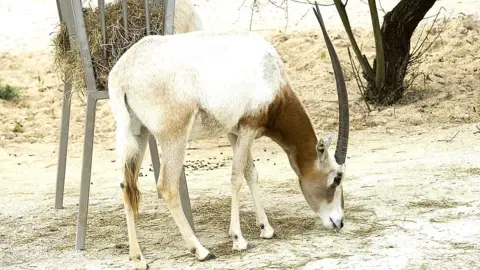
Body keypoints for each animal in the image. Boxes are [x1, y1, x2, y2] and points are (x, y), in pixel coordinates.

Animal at [108, 5, 348, 268]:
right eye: (337, 178)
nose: (339, 222)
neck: (272, 76)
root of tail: (123, 74)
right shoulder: (249, 126)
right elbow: (236, 176)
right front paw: (238, 238)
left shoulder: (235, 131)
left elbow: (251, 173)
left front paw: (266, 228)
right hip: (174, 136)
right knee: (167, 188)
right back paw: (201, 250)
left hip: (137, 133)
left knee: (126, 185)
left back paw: (138, 257)